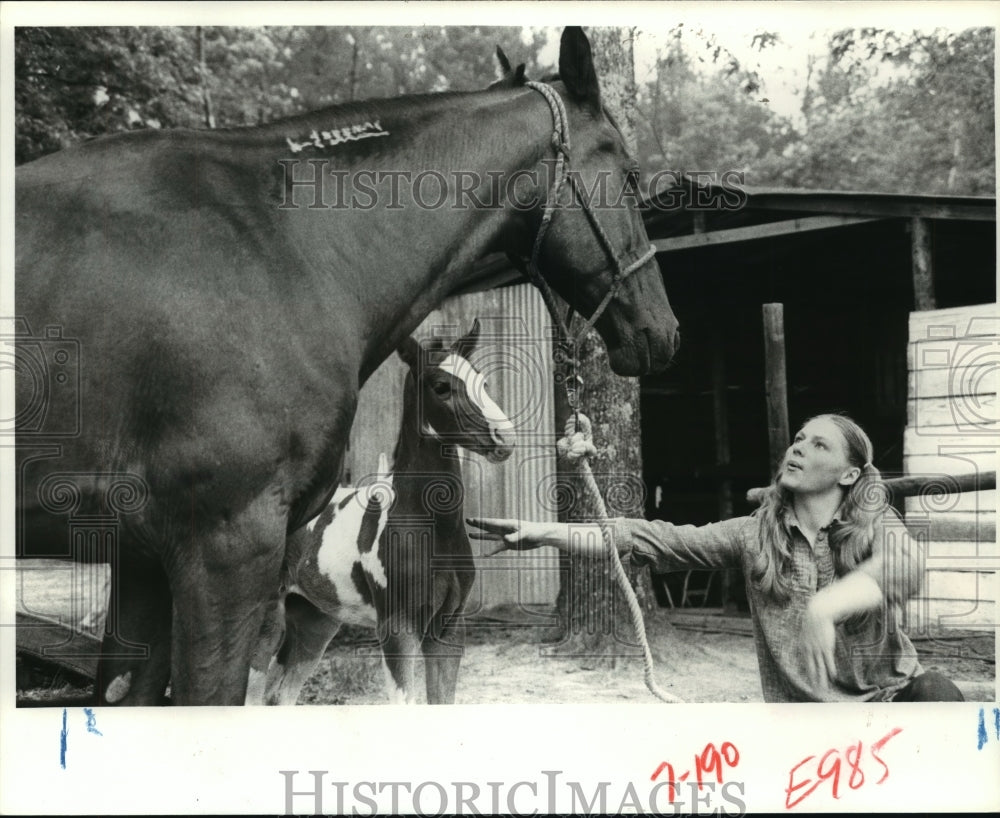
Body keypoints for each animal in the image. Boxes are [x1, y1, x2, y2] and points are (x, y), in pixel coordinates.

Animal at [246, 320, 513, 705]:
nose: (504, 438)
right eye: (441, 386)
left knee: (279, 696)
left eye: (483, 382)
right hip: (267, 622)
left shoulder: (448, 628)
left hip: (316, 621)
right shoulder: (397, 629)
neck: (429, 527)